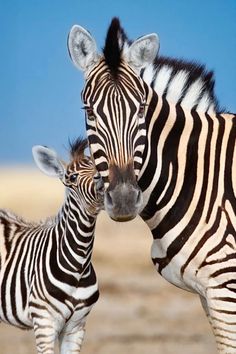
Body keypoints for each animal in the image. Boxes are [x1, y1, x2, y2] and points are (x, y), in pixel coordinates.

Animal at [0, 139, 103, 354]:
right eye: (72, 177)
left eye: (99, 169)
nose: (101, 184)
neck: (79, 261)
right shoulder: (44, 322)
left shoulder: (76, 327)